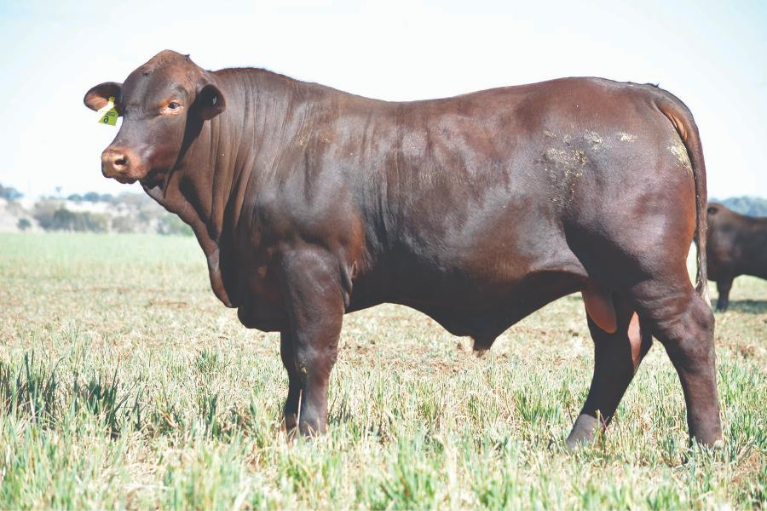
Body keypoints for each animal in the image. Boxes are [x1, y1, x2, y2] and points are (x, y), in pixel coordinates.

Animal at [84, 50, 722, 448]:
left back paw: (706, 445)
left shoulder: (311, 266)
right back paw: (576, 444)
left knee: (689, 334)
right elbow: (290, 359)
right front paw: (287, 429)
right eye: (124, 106)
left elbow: (312, 356)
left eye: (172, 105)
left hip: (649, 270)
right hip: (605, 285)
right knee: (618, 353)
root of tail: (637, 90)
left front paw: (310, 435)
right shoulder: (282, 279)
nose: (114, 158)